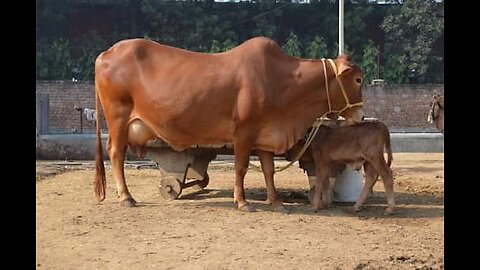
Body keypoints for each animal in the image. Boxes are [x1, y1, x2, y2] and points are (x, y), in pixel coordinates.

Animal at [93, 36, 364, 211]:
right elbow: (241, 167)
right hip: (118, 118)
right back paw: (126, 197)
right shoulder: (243, 132)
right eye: (359, 79)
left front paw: (275, 200)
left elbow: (268, 170)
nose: (361, 116)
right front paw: (242, 201)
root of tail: (106, 53)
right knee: (116, 154)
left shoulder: (265, 135)